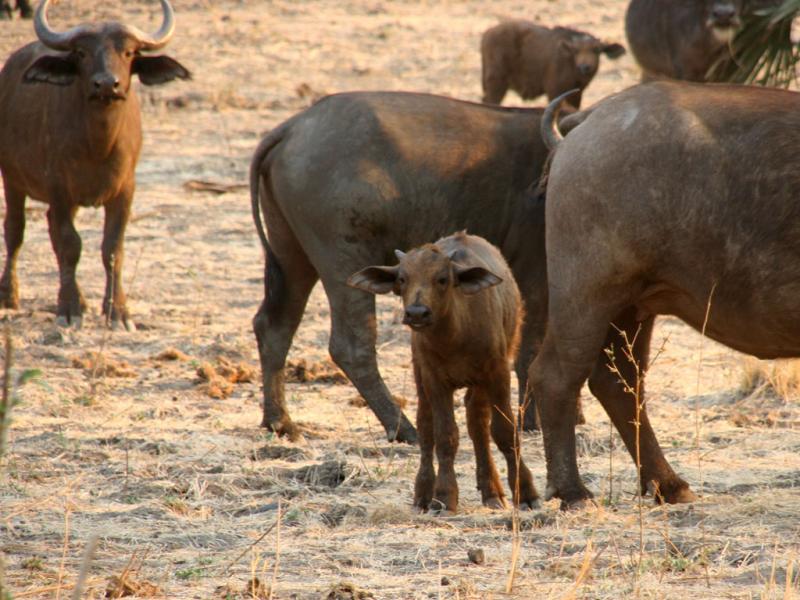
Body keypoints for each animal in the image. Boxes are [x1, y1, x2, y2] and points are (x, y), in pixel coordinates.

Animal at [0, 0, 191, 328]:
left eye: (128, 52)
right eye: (81, 52)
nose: (106, 85)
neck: (98, 145)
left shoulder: (125, 191)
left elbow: (112, 248)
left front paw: (117, 311)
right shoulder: (59, 189)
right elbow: (69, 245)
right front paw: (68, 308)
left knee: (48, 227)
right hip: (11, 178)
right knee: (15, 230)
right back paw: (9, 295)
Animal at [350, 232, 536, 512]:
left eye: (442, 279)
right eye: (402, 279)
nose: (417, 313)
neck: (454, 337)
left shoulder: (497, 374)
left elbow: (504, 431)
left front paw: (525, 493)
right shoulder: (434, 380)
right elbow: (445, 435)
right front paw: (444, 496)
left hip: (480, 382)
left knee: (477, 422)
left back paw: (492, 491)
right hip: (420, 377)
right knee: (426, 428)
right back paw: (423, 494)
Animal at [478, 19, 628, 108]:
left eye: (597, 50)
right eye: (576, 51)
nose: (585, 67)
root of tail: (487, 33)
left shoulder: (576, 95)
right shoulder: (554, 91)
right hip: (497, 83)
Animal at [532, 82, 800, 508]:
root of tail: (588, 123)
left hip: (632, 307)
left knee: (619, 383)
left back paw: (667, 483)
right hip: (585, 292)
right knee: (556, 376)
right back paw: (573, 491)